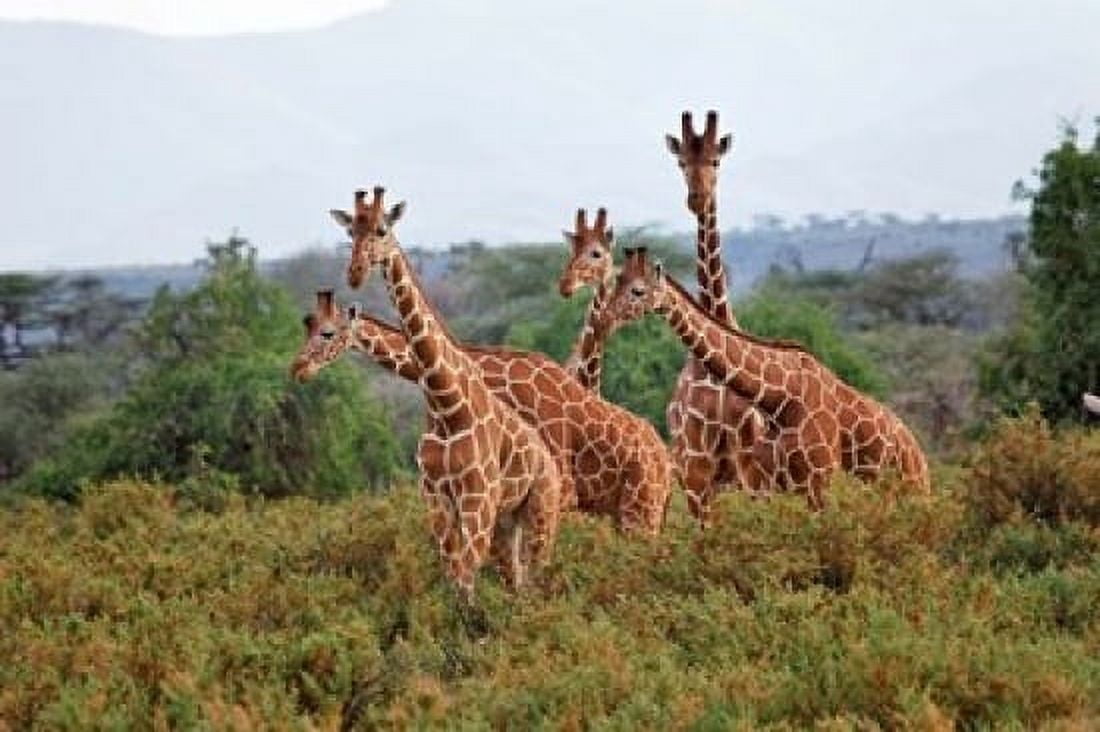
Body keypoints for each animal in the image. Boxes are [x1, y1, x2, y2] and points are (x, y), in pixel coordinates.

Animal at [328, 188, 562, 601]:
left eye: (383, 229)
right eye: (350, 232)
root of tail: (550, 461)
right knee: (516, 579)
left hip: (540, 511)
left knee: (536, 576)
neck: (444, 400)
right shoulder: (436, 497)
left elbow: (465, 575)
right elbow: (453, 571)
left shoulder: (476, 499)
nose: (354, 274)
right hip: (508, 521)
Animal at [602, 247, 930, 508]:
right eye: (616, 282)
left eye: (637, 291)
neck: (779, 400)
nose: (605, 316)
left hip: (909, 488)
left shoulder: (819, 478)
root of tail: (917, 452)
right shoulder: (775, 483)